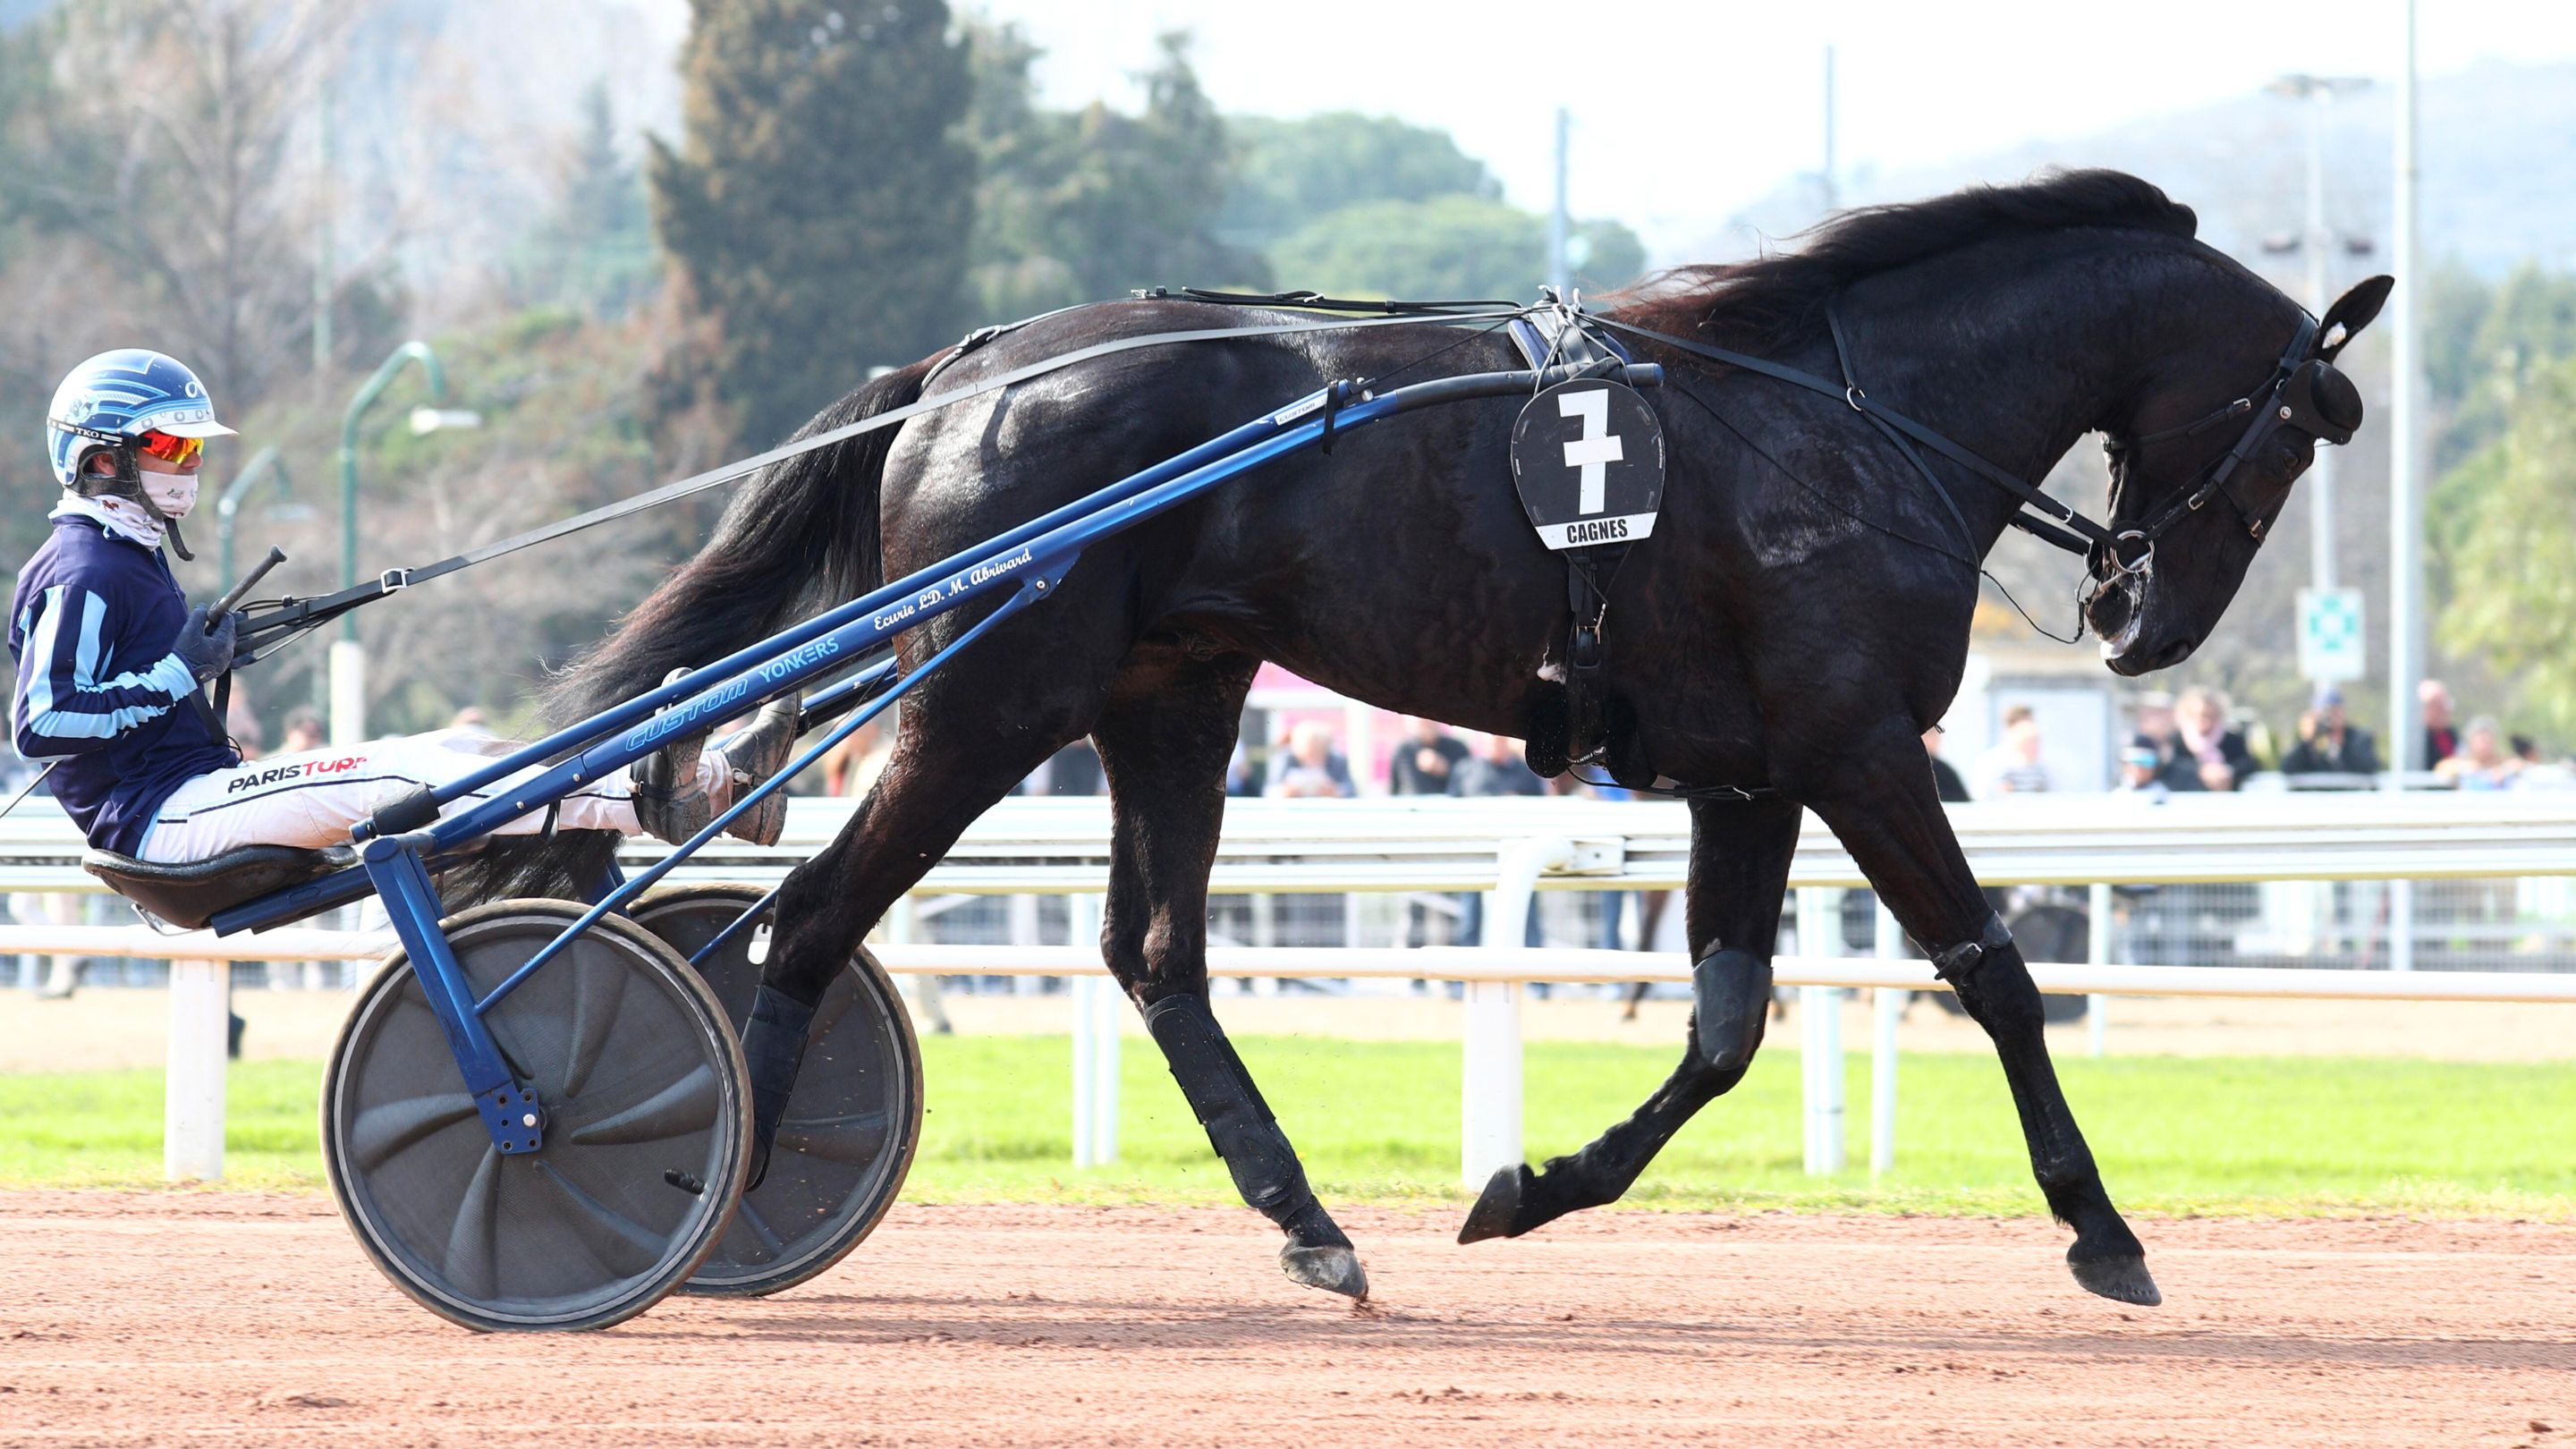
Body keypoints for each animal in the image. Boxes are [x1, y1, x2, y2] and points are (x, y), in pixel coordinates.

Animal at [494, 169, 2385, 1308]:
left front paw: (1529, 1185)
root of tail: (967, 368)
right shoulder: (1859, 751)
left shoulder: (1755, 771)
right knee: (815, 921)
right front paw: (2104, 1228)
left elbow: (1723, 1029)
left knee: (1157, 950)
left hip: (1170, 693)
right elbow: (1991, 974)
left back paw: (1314, 1228)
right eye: (2301, 427)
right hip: (989, 697)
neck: (1847, 418)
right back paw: (730, 1196)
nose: (2144, 627)